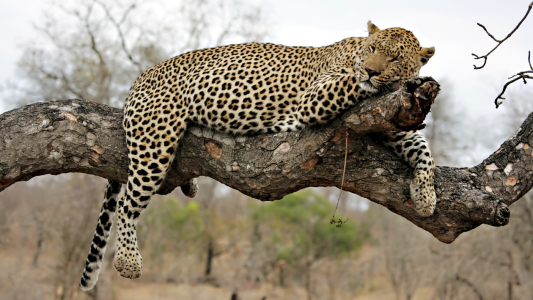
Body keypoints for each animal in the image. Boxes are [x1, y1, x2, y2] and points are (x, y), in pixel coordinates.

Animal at [80, 21, 436, 290]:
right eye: (373, 50)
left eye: (395, 58)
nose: (371, 70)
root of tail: (139, 78)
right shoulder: (316, 98)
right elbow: (354, 82)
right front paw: (400, 79)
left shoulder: (391, 121)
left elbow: (424, 150)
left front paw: (426, 197)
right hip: (155, 140)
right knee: (127, 204)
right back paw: (127, 261)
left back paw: (189, 186)